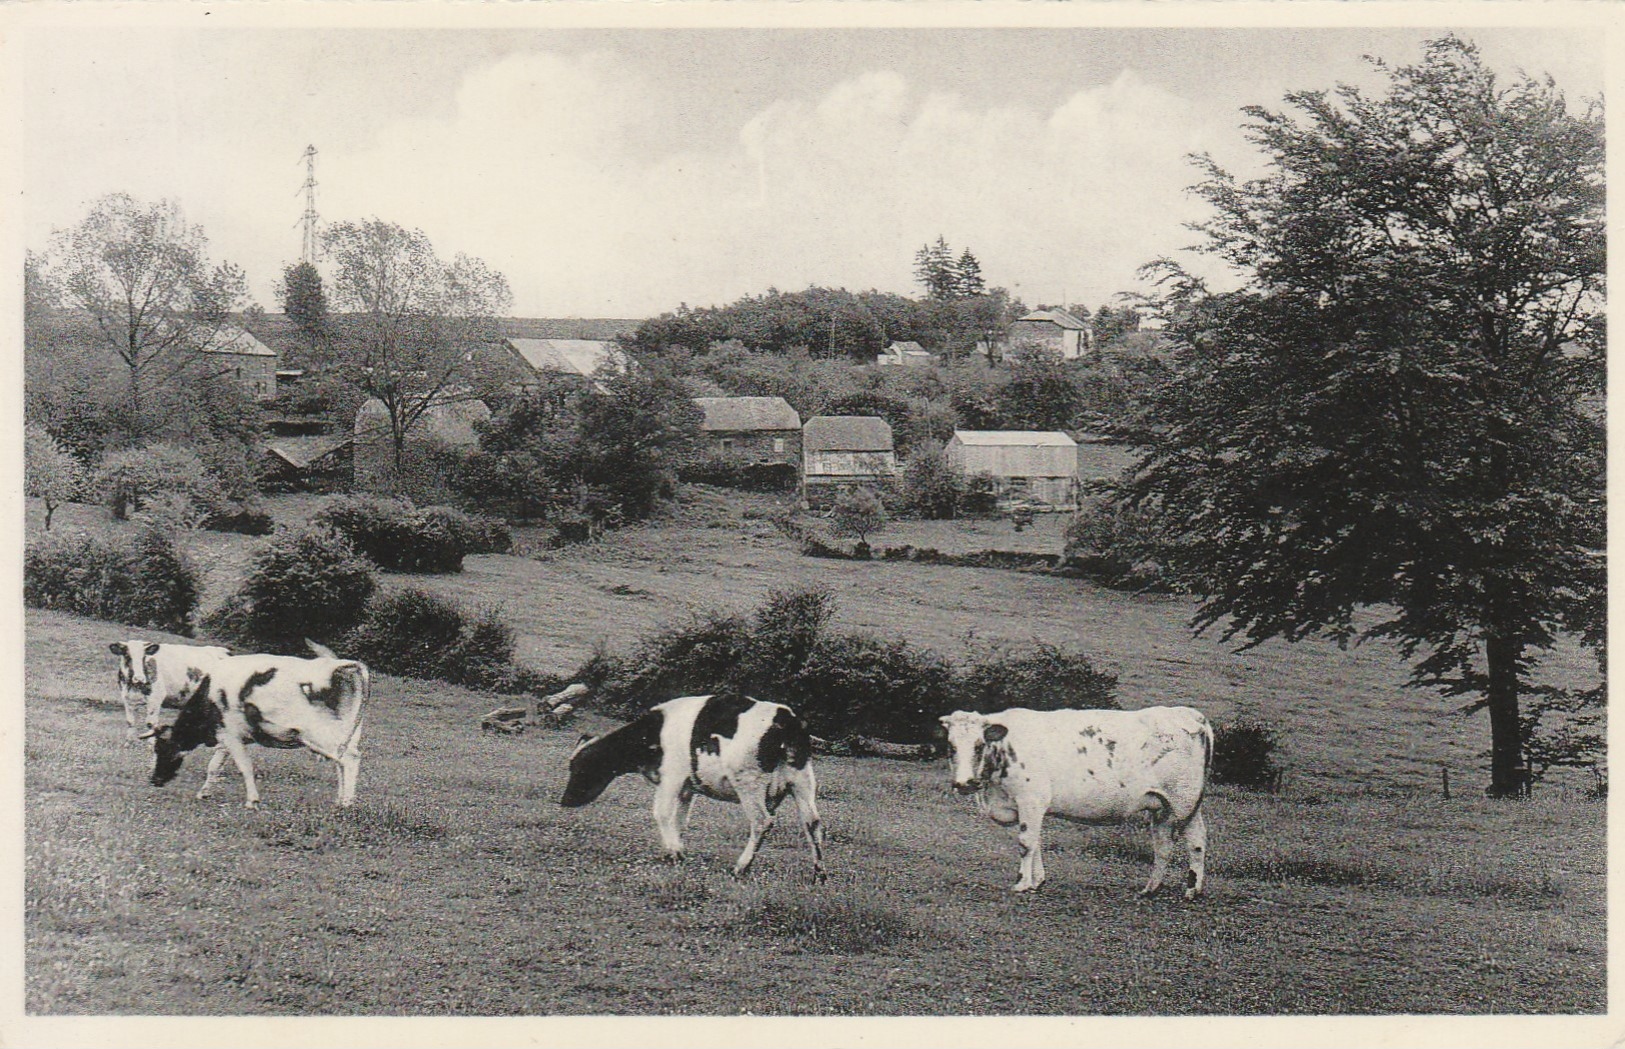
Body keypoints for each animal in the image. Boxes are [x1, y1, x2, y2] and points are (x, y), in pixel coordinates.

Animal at [147, 652, 372, 808]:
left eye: (161, 748)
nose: (154, 780)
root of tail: (341, 665)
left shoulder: (230, 735)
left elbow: (245, 766)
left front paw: (252, 801)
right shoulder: (226, 736)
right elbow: (214, 766)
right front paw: (204, 793)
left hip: (320, 735)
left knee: (350, 759)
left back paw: (347, 804)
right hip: (346, 734)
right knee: (341, 764)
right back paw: (340, 800)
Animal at [565, 695, 832, 883]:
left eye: (581, 767)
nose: (564, 800)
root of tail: (787, 718)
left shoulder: (671, 777)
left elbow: (662, 813)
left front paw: (675, 852)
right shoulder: (687, 788)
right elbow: (679, 820)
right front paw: (674, 850)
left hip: (748, 782)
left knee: (762, 821)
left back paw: (741, 867)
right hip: (802, 781)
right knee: (813, 823)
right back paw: (819, 874)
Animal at [936, 707, 1215, 896]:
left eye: (979, 745)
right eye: (951, 746)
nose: (964, 783)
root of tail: (1188, 713)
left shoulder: (1031, 799)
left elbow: (1026, 843)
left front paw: (1022, 883)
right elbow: (1036, 842)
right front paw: (1037, 880)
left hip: (1183, 801)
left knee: (1194, 840)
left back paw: (1191, 890)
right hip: (1164, 807)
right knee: (1166, 845)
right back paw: (1152, 888)